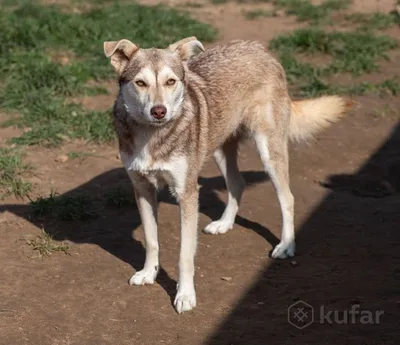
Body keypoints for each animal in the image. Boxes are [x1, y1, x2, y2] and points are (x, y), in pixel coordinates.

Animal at [103, 37, 354, 312]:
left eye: (171, 81)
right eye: (140, 83)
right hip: (220, 150)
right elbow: (151, 240)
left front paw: (185, 295)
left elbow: (185, 255)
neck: (153, 136)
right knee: (238, 183)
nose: (159, 111)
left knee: (287, 198)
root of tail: (258, 47)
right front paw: (149, 274)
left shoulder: (187, 194)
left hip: (269, 152)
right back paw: (224, 223)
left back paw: (286, 245)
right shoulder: (142, 190)